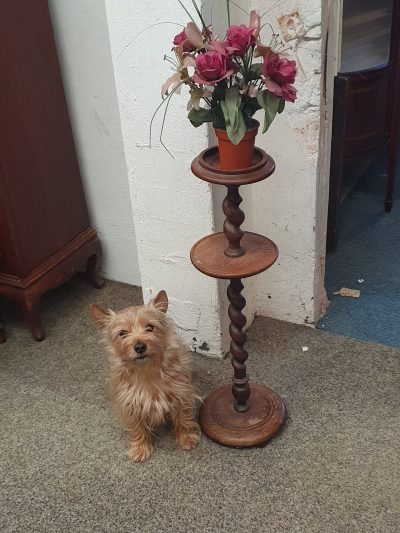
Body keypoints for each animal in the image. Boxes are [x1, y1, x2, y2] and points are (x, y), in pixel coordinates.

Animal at [89, 288, 198, 460]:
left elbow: (183, 417)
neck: (146, 370)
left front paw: (186, 437)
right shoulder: (131, 404)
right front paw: (140, 447)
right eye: (122, 333)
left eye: (150, 327)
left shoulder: (182, 393)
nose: (140, 347)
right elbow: (137, 427)